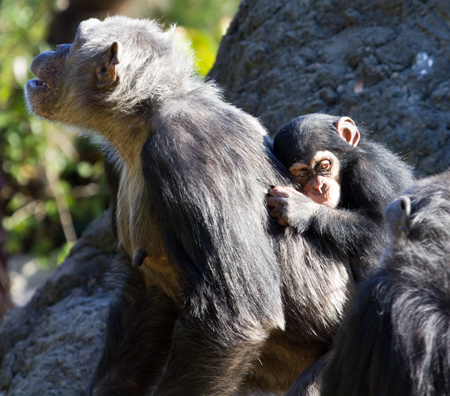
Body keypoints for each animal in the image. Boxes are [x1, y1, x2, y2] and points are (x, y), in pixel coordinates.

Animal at [24, 16, 410, 396]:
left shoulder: (187, 152)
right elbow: (142, 299)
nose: (56, 47)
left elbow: (234, 315)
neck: (143, 120)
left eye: (76, 40)